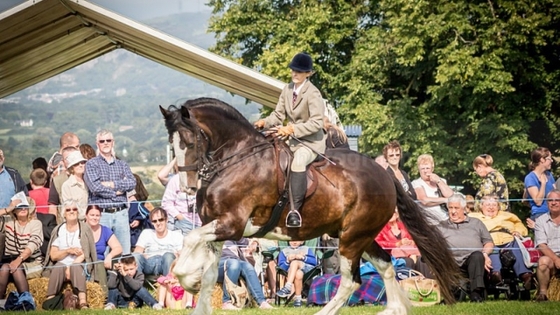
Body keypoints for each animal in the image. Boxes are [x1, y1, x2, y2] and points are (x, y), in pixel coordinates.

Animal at [160, 97, 458, 314]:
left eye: (189, 142)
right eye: (171, 145)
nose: (188, 186)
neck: (237, 158)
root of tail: (384, 173)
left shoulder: (231, 225)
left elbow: (189, 243)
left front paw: (191, 281)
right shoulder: (218, 231)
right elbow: (207, 271)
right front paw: (197, 284)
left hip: (352, 239)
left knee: (350, 281)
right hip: (360, 235)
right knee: (385, 266)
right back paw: (395, 309)